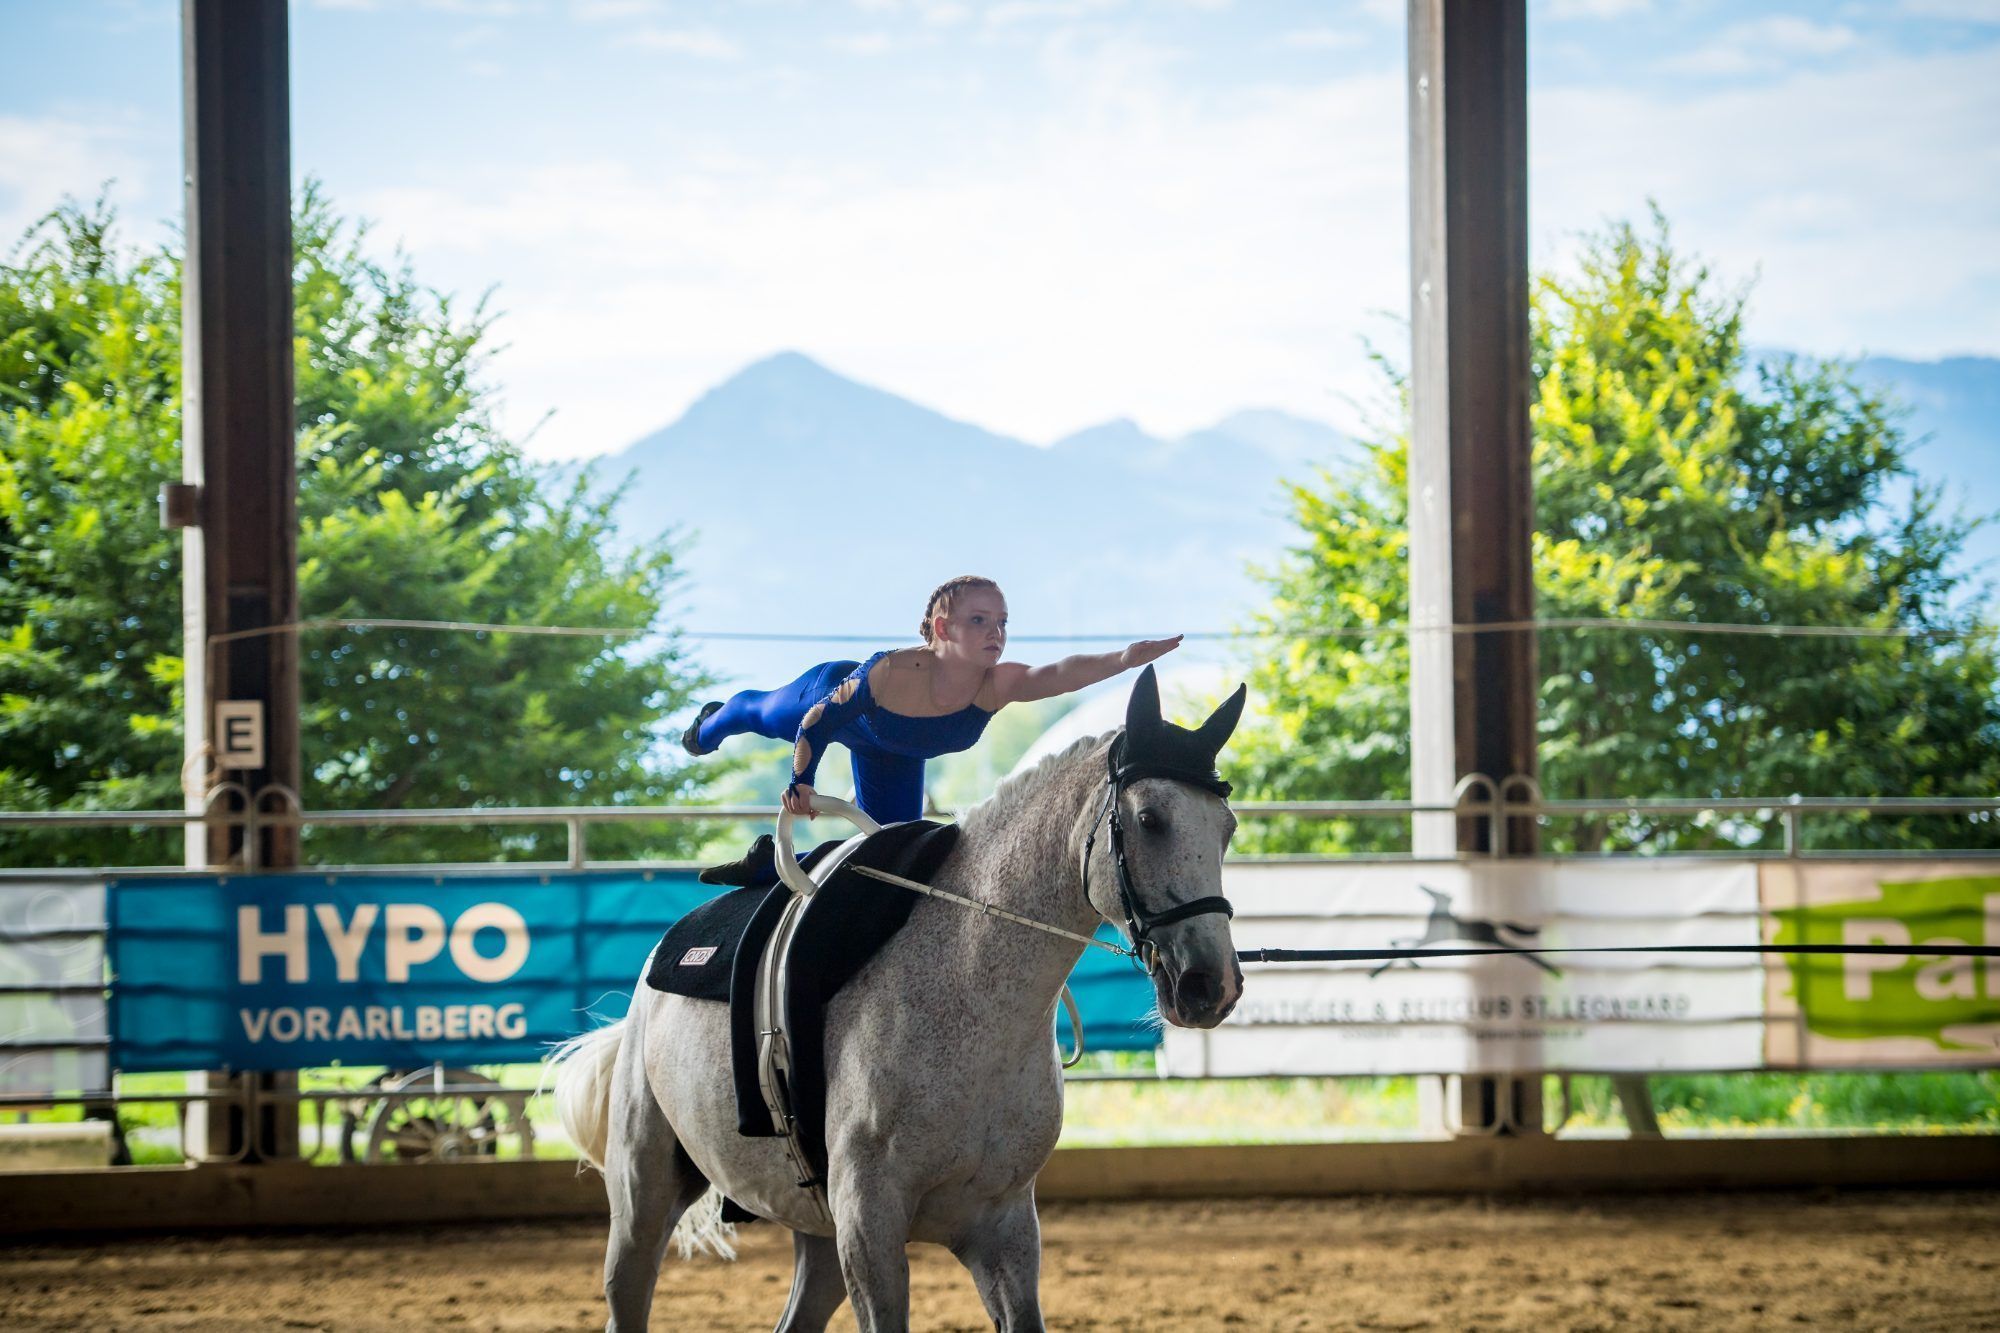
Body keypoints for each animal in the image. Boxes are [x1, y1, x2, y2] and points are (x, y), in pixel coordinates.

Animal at [545, 667, 1247, 1331]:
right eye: (1149, 819)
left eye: (1228, 827)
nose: (1209, 985)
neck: (973, 999)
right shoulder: (871, 1232)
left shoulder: (1004, 1229)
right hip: (643, 1196)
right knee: (628, 1290)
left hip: (818, 1234)